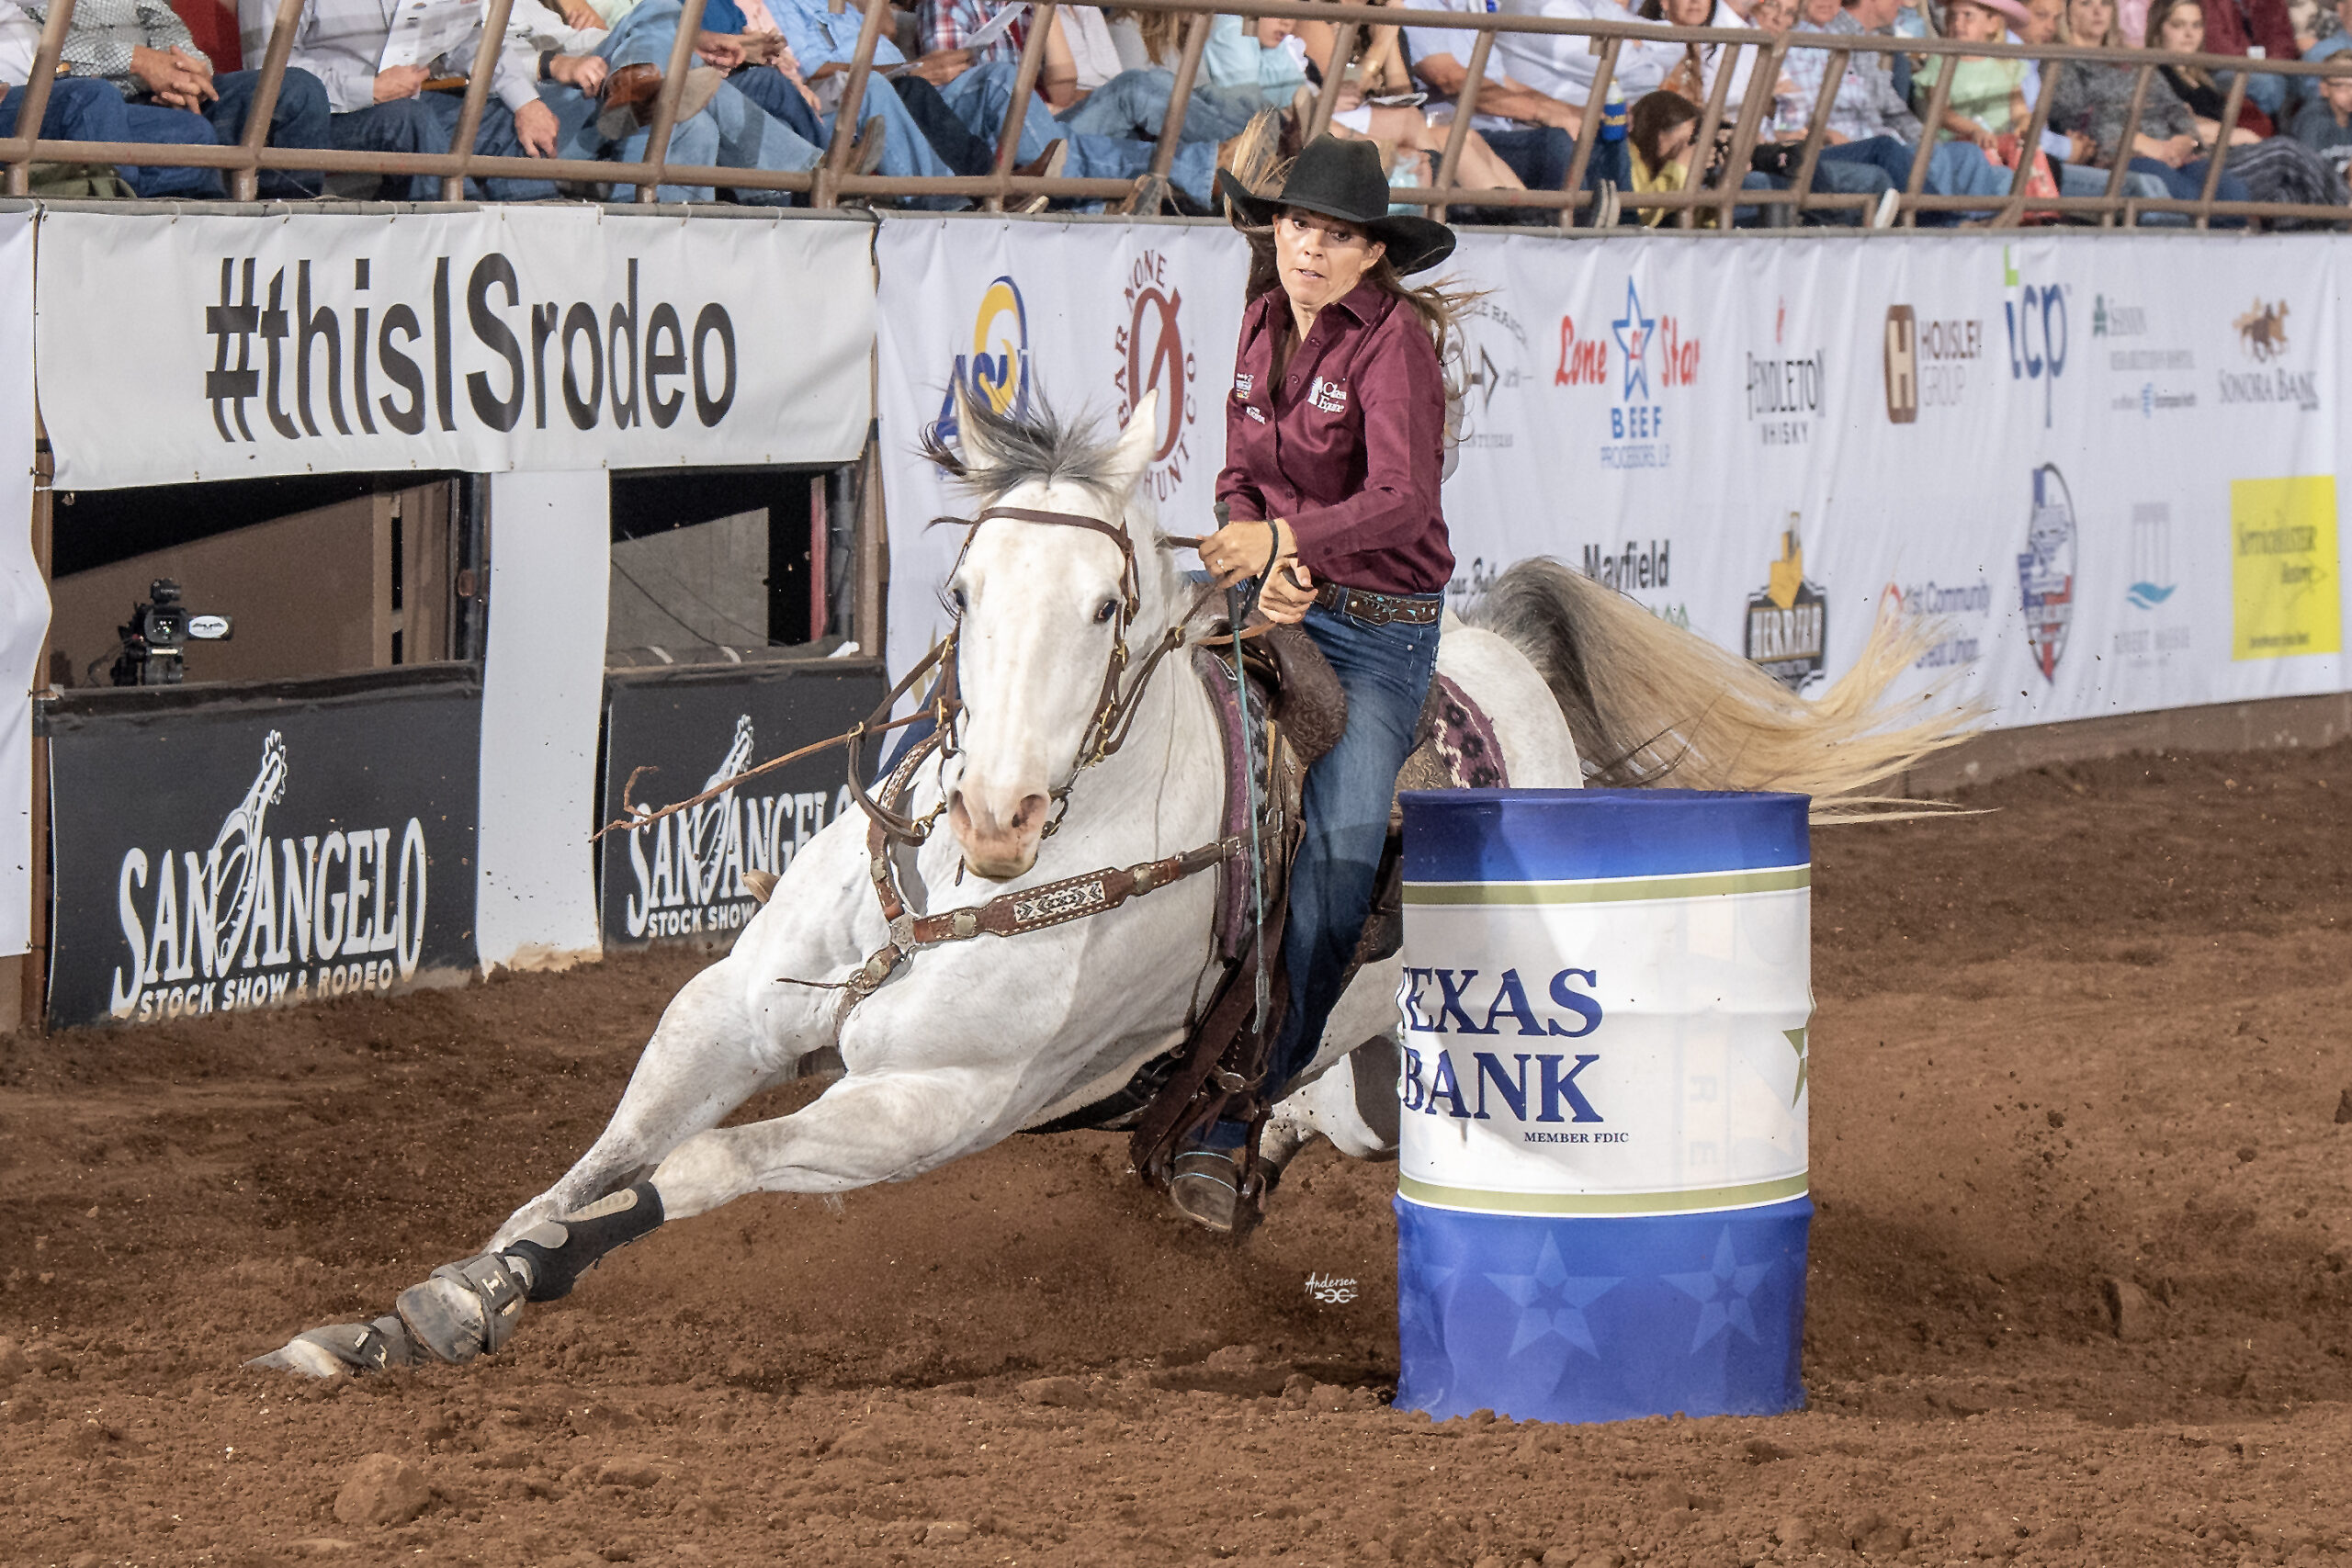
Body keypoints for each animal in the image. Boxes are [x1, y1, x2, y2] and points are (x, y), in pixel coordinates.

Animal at [253, 389, 1966, 1372]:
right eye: (960, 587)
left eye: (1103, 602)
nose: (1001, 812)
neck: (979, 877)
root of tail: (1502, 657)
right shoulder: (739, 1007)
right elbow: (604, 1152)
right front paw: (436, 1299)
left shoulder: (937, 1102)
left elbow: (706, 1167)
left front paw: (516, 1282)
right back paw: (1223, 1155)